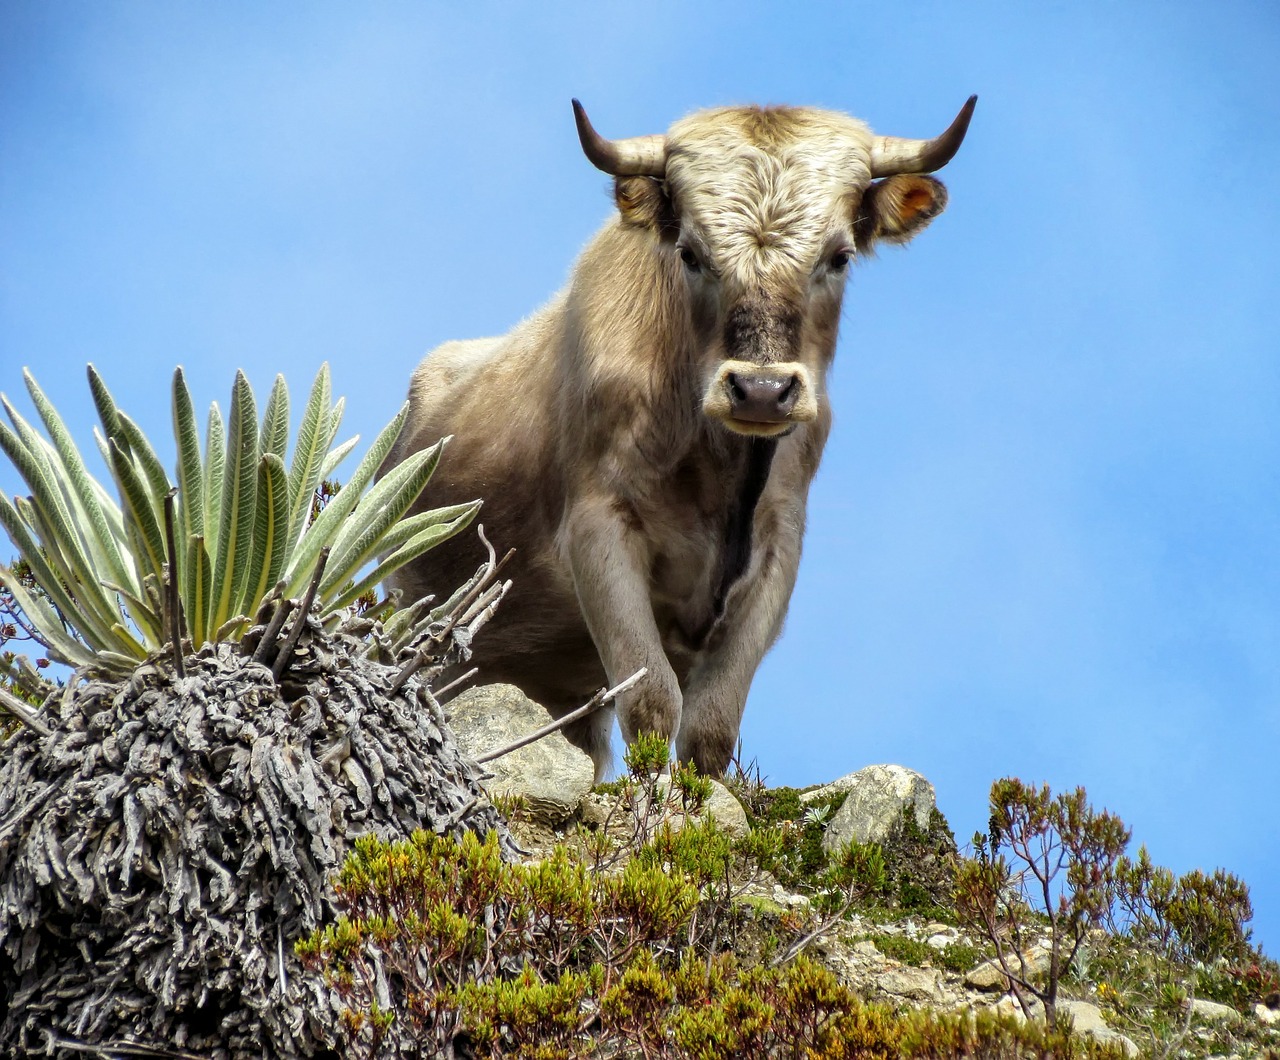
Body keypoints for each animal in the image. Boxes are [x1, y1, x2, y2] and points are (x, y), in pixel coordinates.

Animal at [384, 99, 972, 778]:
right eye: (690, 253)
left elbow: (711, 728)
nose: (762, 390)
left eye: (841, 256)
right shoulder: (598, 529)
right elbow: (651, 703)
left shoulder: (779, 548)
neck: (719, 473)